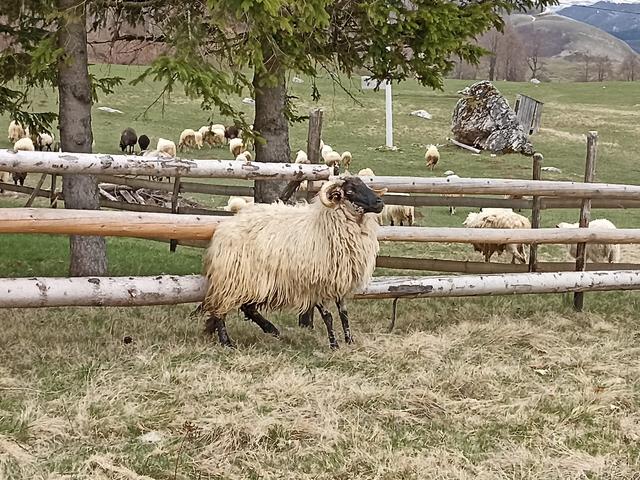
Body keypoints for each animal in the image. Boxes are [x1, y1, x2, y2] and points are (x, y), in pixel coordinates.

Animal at [201, 176, 385, 349]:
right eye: (350, 191)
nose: (380, 203)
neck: (324, 225)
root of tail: (224, 226)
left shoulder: (338, 280)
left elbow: (344, 314)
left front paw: (350, 341)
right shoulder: (316, 283)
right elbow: (328, 316)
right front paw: (334, 345)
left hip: (254, 281)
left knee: (248, 307)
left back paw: (272, 330)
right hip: (233, 278)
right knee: (220, 309)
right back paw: (227, 342)